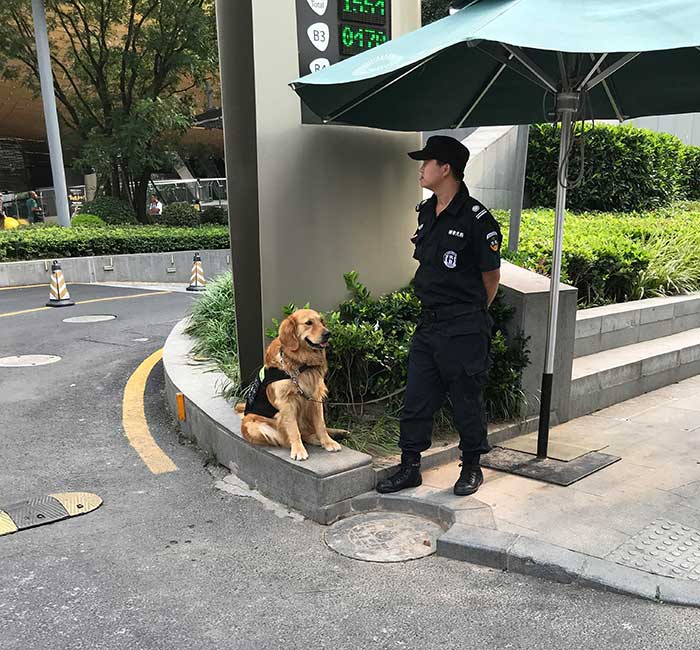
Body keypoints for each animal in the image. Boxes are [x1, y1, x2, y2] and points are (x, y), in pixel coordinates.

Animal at [237, 306, 344, 458]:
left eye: (322, 321)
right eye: (309, 323)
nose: (328, 333)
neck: (301, 363)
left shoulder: (314, 397)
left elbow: (321, 424)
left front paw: (328, 442)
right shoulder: (286, 402)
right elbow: (294, 429)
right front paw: (298, 450)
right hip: (256, 425)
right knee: (294, 434)